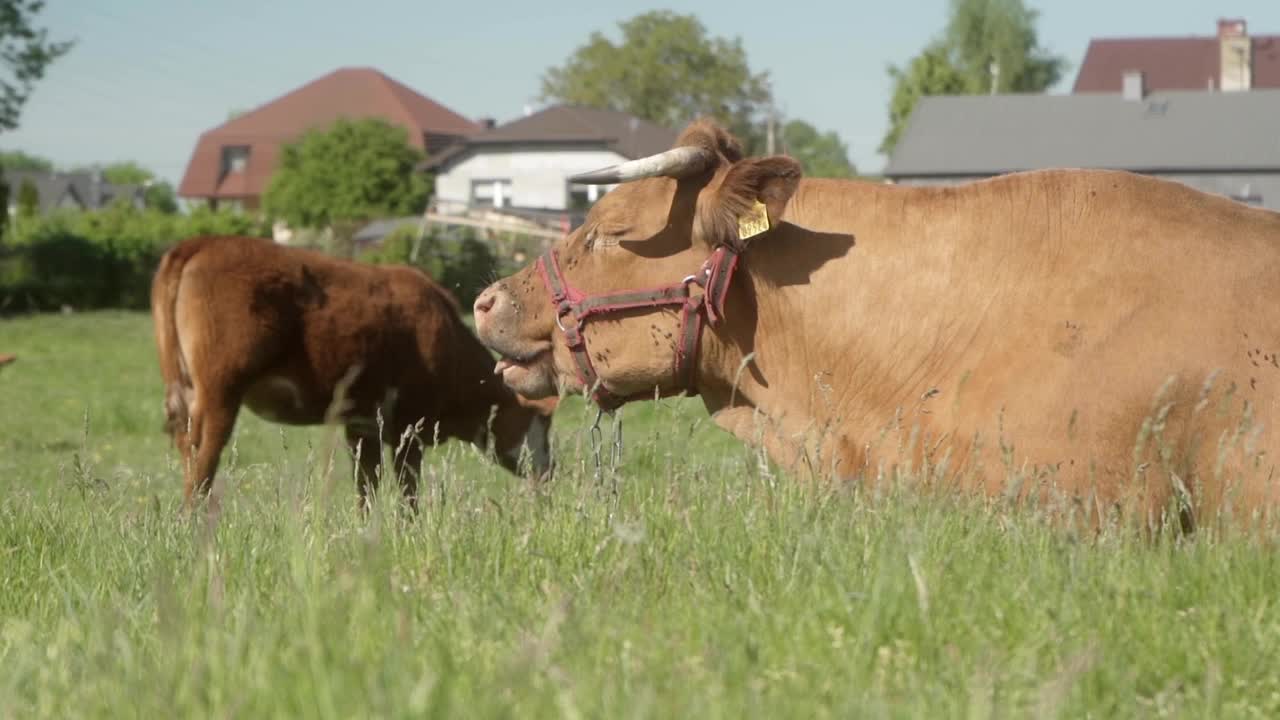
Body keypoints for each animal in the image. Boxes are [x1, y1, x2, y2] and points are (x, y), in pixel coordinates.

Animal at [148, 235, 555, 509]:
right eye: (544, 423)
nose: (551, 471)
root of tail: (204, 242)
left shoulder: (362, 425)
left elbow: (367, 488)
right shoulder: (412, 426)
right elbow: (407, 492)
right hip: (220, 392)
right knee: (202, 459)